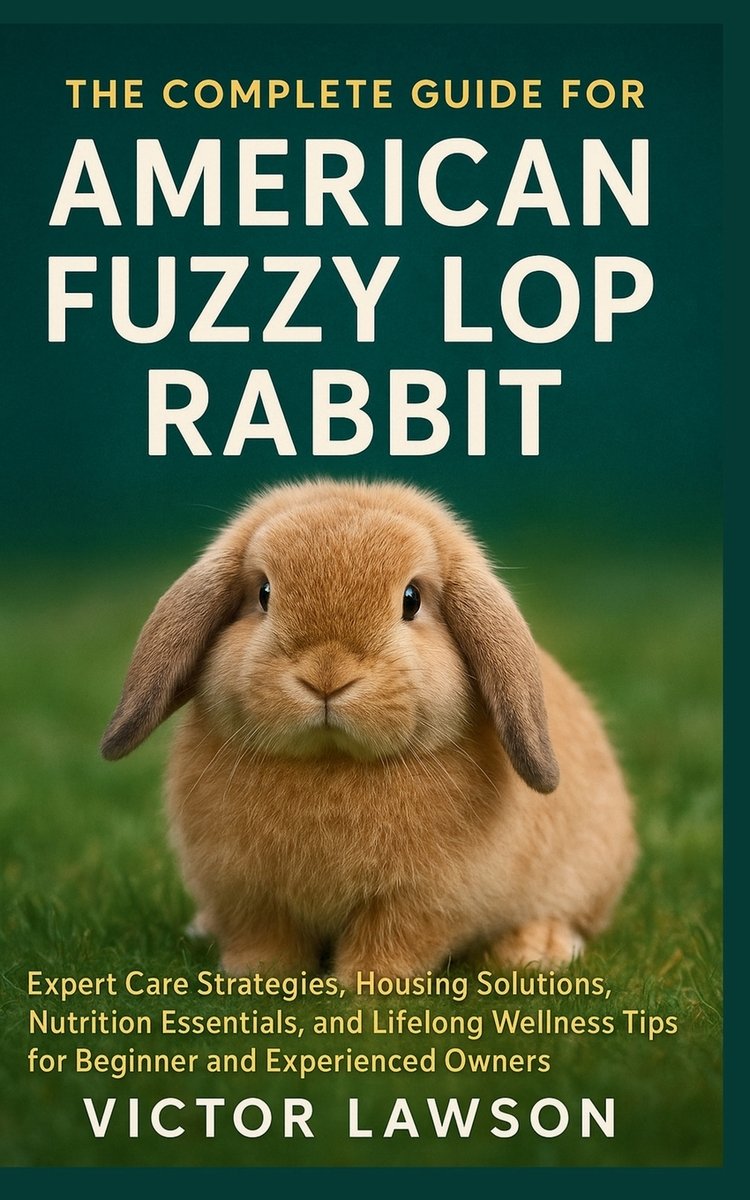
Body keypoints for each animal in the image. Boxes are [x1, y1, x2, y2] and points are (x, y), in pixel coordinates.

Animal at [101, 479, 637, 982]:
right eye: (264, 594)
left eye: (411, 600)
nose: (327, 675)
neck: (331, 760)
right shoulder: (248, 892)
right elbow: (266, 938)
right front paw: (258, 975)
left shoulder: (419, 899)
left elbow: (388, 940)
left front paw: (366, 984)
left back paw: (536, 949)